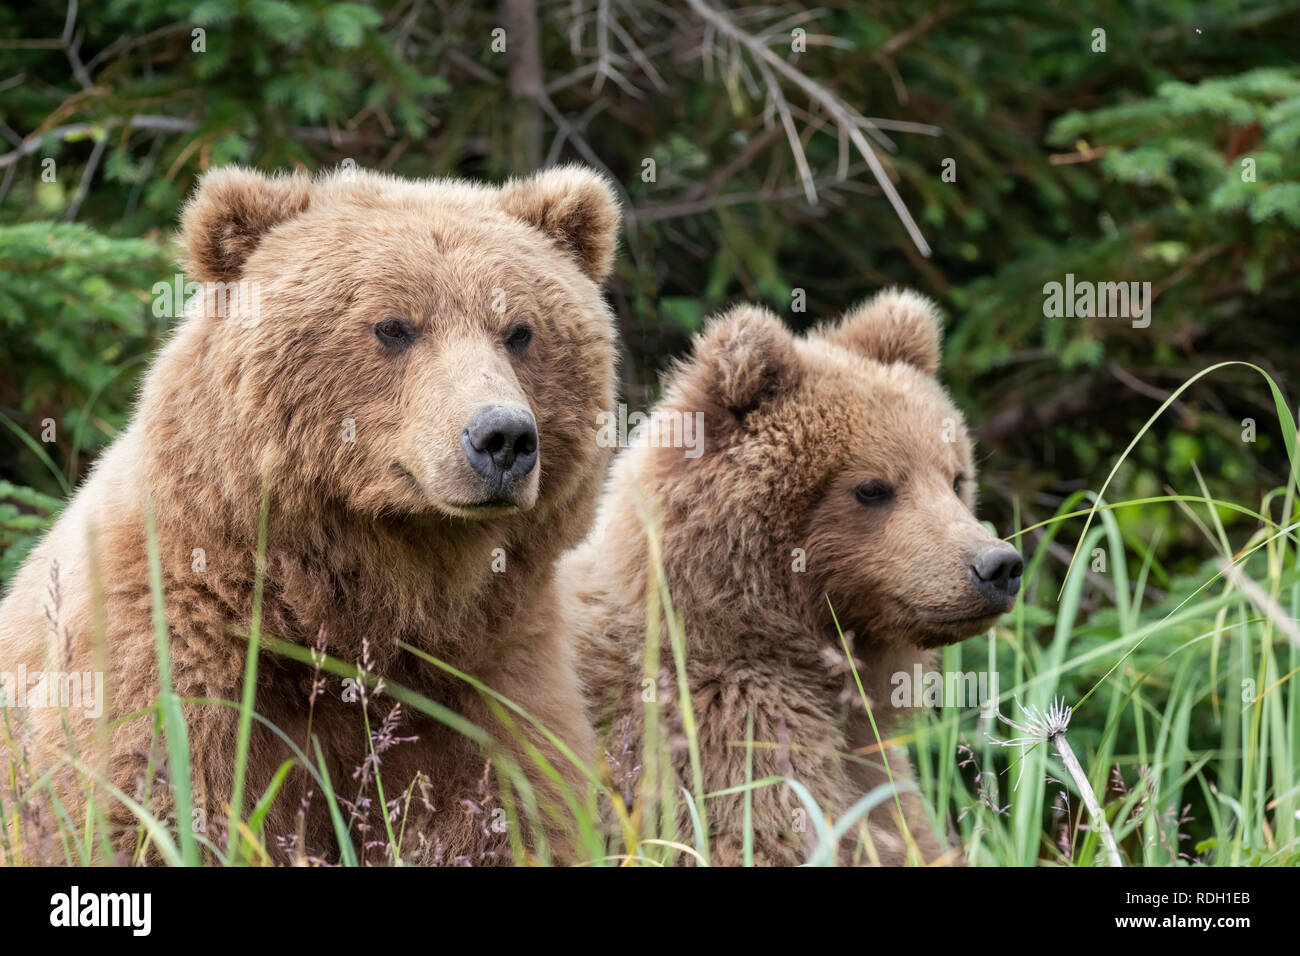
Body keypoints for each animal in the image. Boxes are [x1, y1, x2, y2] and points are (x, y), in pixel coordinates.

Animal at [0, 164, 618, 868]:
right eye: (393, 326)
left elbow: (508, 814)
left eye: (520, 330)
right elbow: (145, 808)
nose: (503, 438)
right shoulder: (173, 654)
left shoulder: (492, 680)